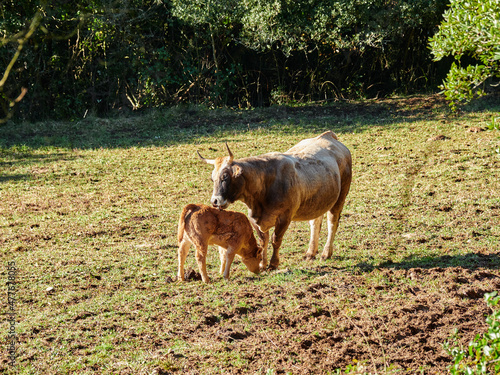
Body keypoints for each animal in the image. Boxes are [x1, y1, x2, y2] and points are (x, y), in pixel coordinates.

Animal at [198, 131, 352, 272]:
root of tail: (328, 136)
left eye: (225, 177)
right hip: (317, 202)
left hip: (340, 197)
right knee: (315, 222)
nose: (215, 201)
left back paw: (326, 253)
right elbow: (263, 240)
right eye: (212, 178)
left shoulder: (284, 217)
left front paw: (273, 263)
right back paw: (310, 253)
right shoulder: (254, 218)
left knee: (332, 222)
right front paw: (262, 264)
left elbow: (275, 240)